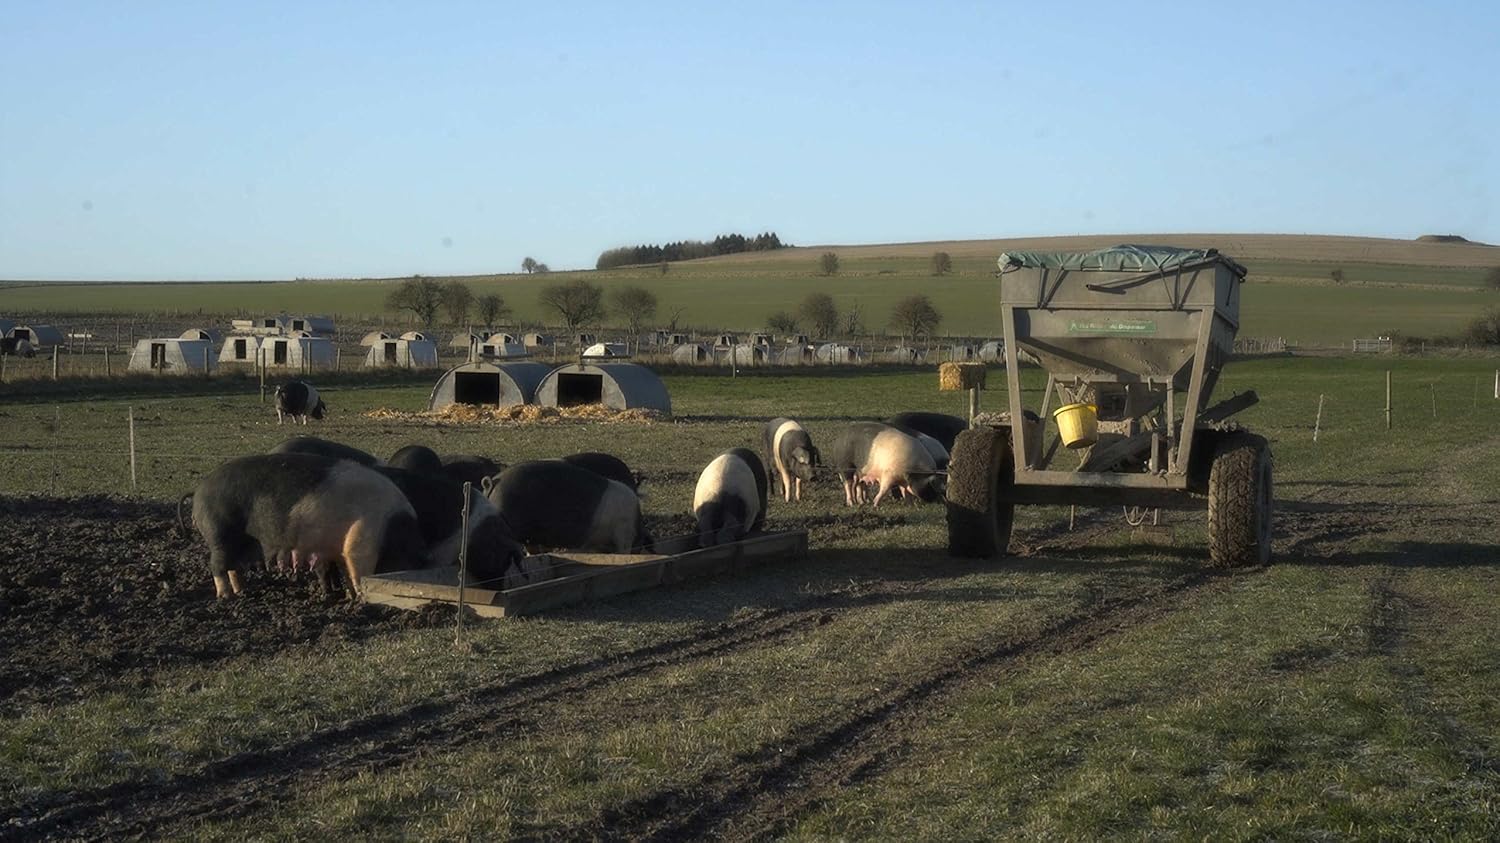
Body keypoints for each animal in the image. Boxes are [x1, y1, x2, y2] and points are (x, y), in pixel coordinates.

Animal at [190, 453, 427, 599]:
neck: (391, 532)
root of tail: (200, 490)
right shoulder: (361, 541)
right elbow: (358, 573)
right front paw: (360, 598)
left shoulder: (341, 548)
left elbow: (346, 571)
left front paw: (349, 596)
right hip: (219, 532)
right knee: (217, 566)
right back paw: (226, 596)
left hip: (236, 541)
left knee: (233, 567)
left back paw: (242, 591)